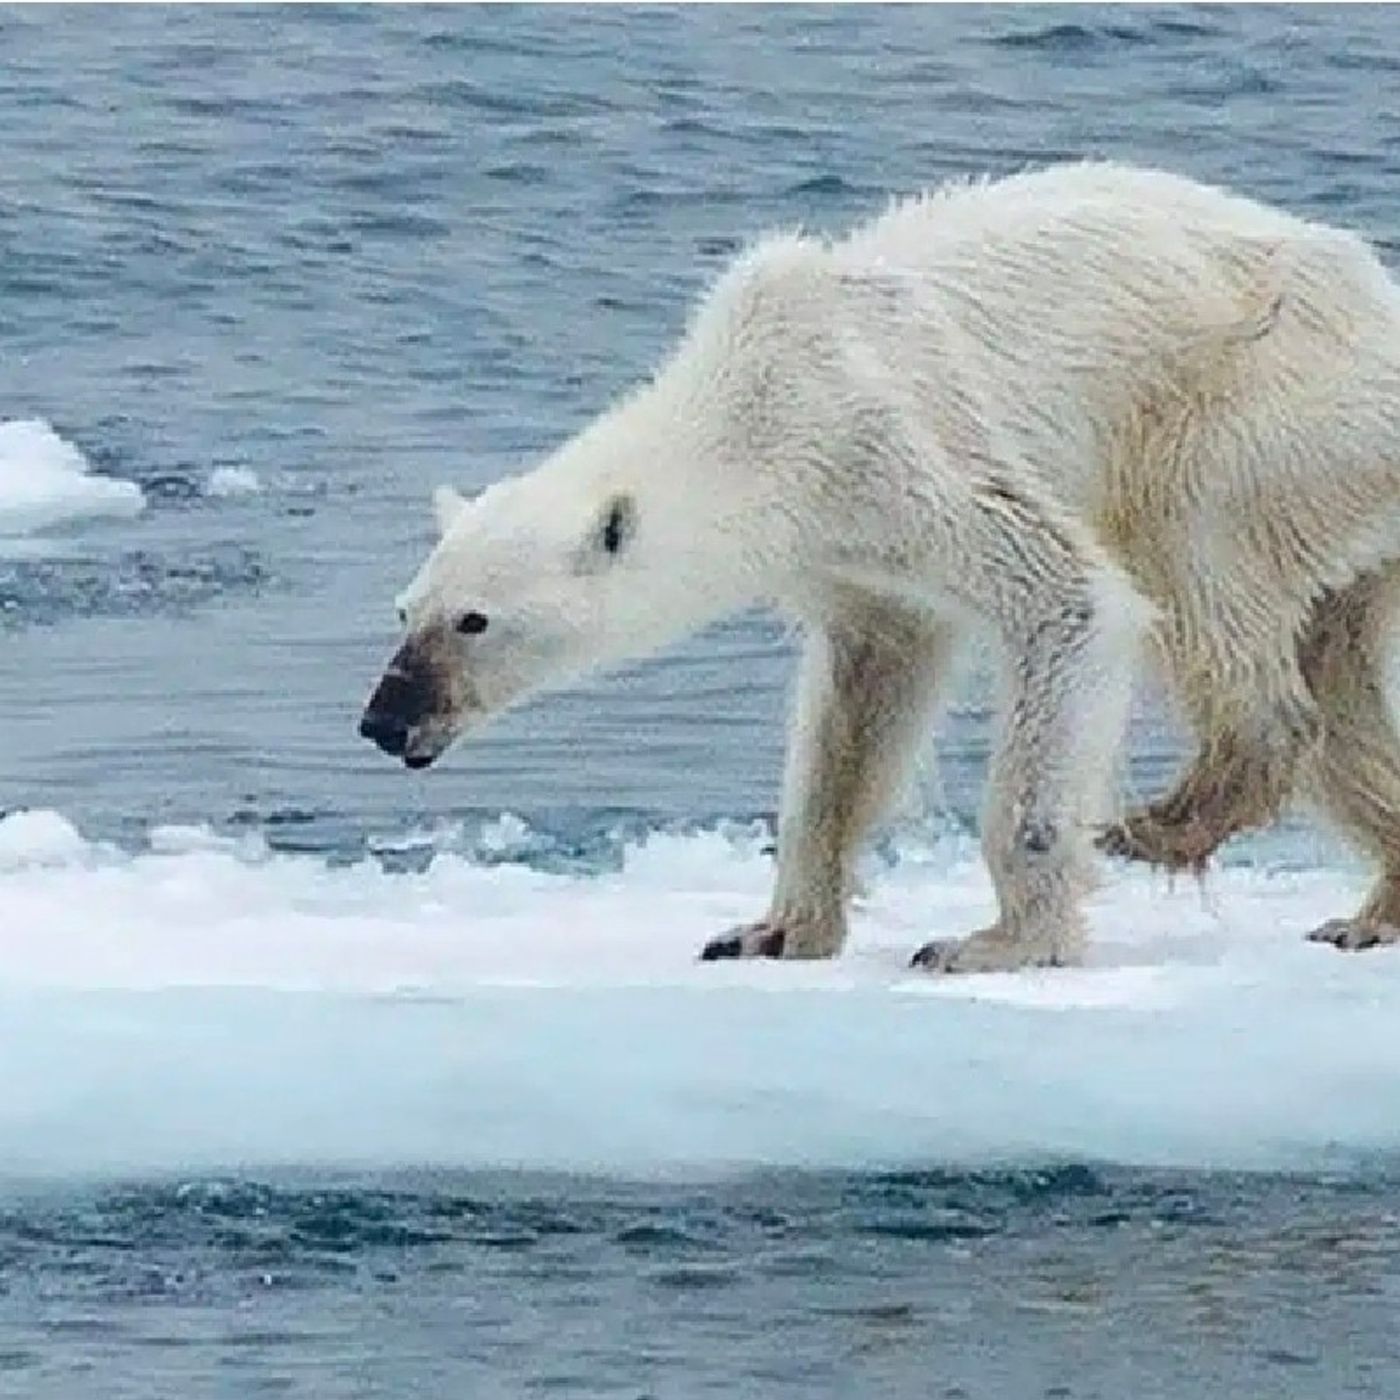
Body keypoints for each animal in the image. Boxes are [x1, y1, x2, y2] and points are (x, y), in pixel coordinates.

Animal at [360, 161, 1400, 973]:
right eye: (405, 609)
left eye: (474, 620)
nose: (384, 719)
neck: (757, 402)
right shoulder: (844, 551)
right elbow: (860, 704)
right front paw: (770, 929)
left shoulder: (896, 442)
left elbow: (1070, 598)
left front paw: (995, 942)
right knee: (1340, 683)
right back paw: (1369, 911)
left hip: (1256, 412)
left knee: (1199, 567)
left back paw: (1165, 819)